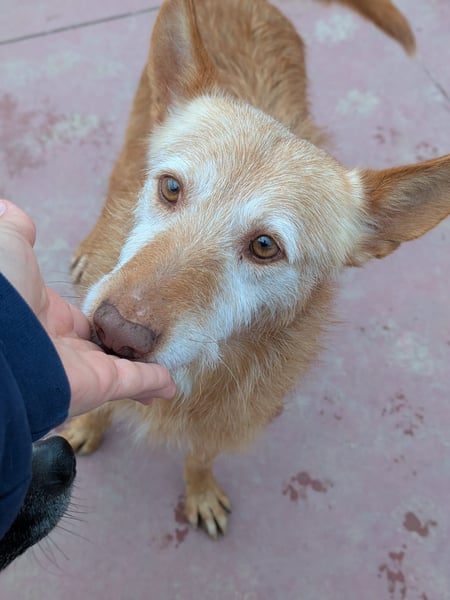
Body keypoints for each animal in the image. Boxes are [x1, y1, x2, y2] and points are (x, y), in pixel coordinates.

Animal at [61, 0, 450, 539]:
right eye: (171, 187)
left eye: (266, 246)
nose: (115, 332)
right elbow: (101, 406)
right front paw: (85, 424)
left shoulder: (231, 420)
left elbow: (201, 456)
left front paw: (200, 489)